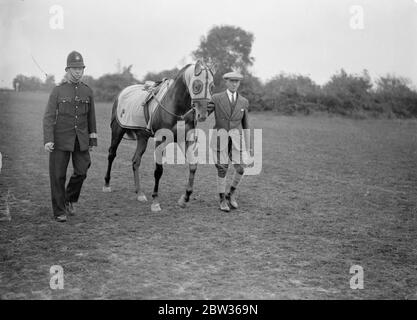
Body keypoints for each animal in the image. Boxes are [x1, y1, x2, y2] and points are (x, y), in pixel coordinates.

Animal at [103, 60, 216, 212]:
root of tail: (122, 92)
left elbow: (193, 166)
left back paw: (140, 193)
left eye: (212, 86)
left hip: (142, 138)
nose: (202, 114)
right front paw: (155, 202)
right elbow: (158, 170)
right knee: (111, 154)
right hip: (117, 131)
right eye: (197, 85)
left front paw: (184, 199)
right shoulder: (160, 140)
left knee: (135, 161)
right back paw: (107, 185)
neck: (176, 107)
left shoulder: (185, 139)